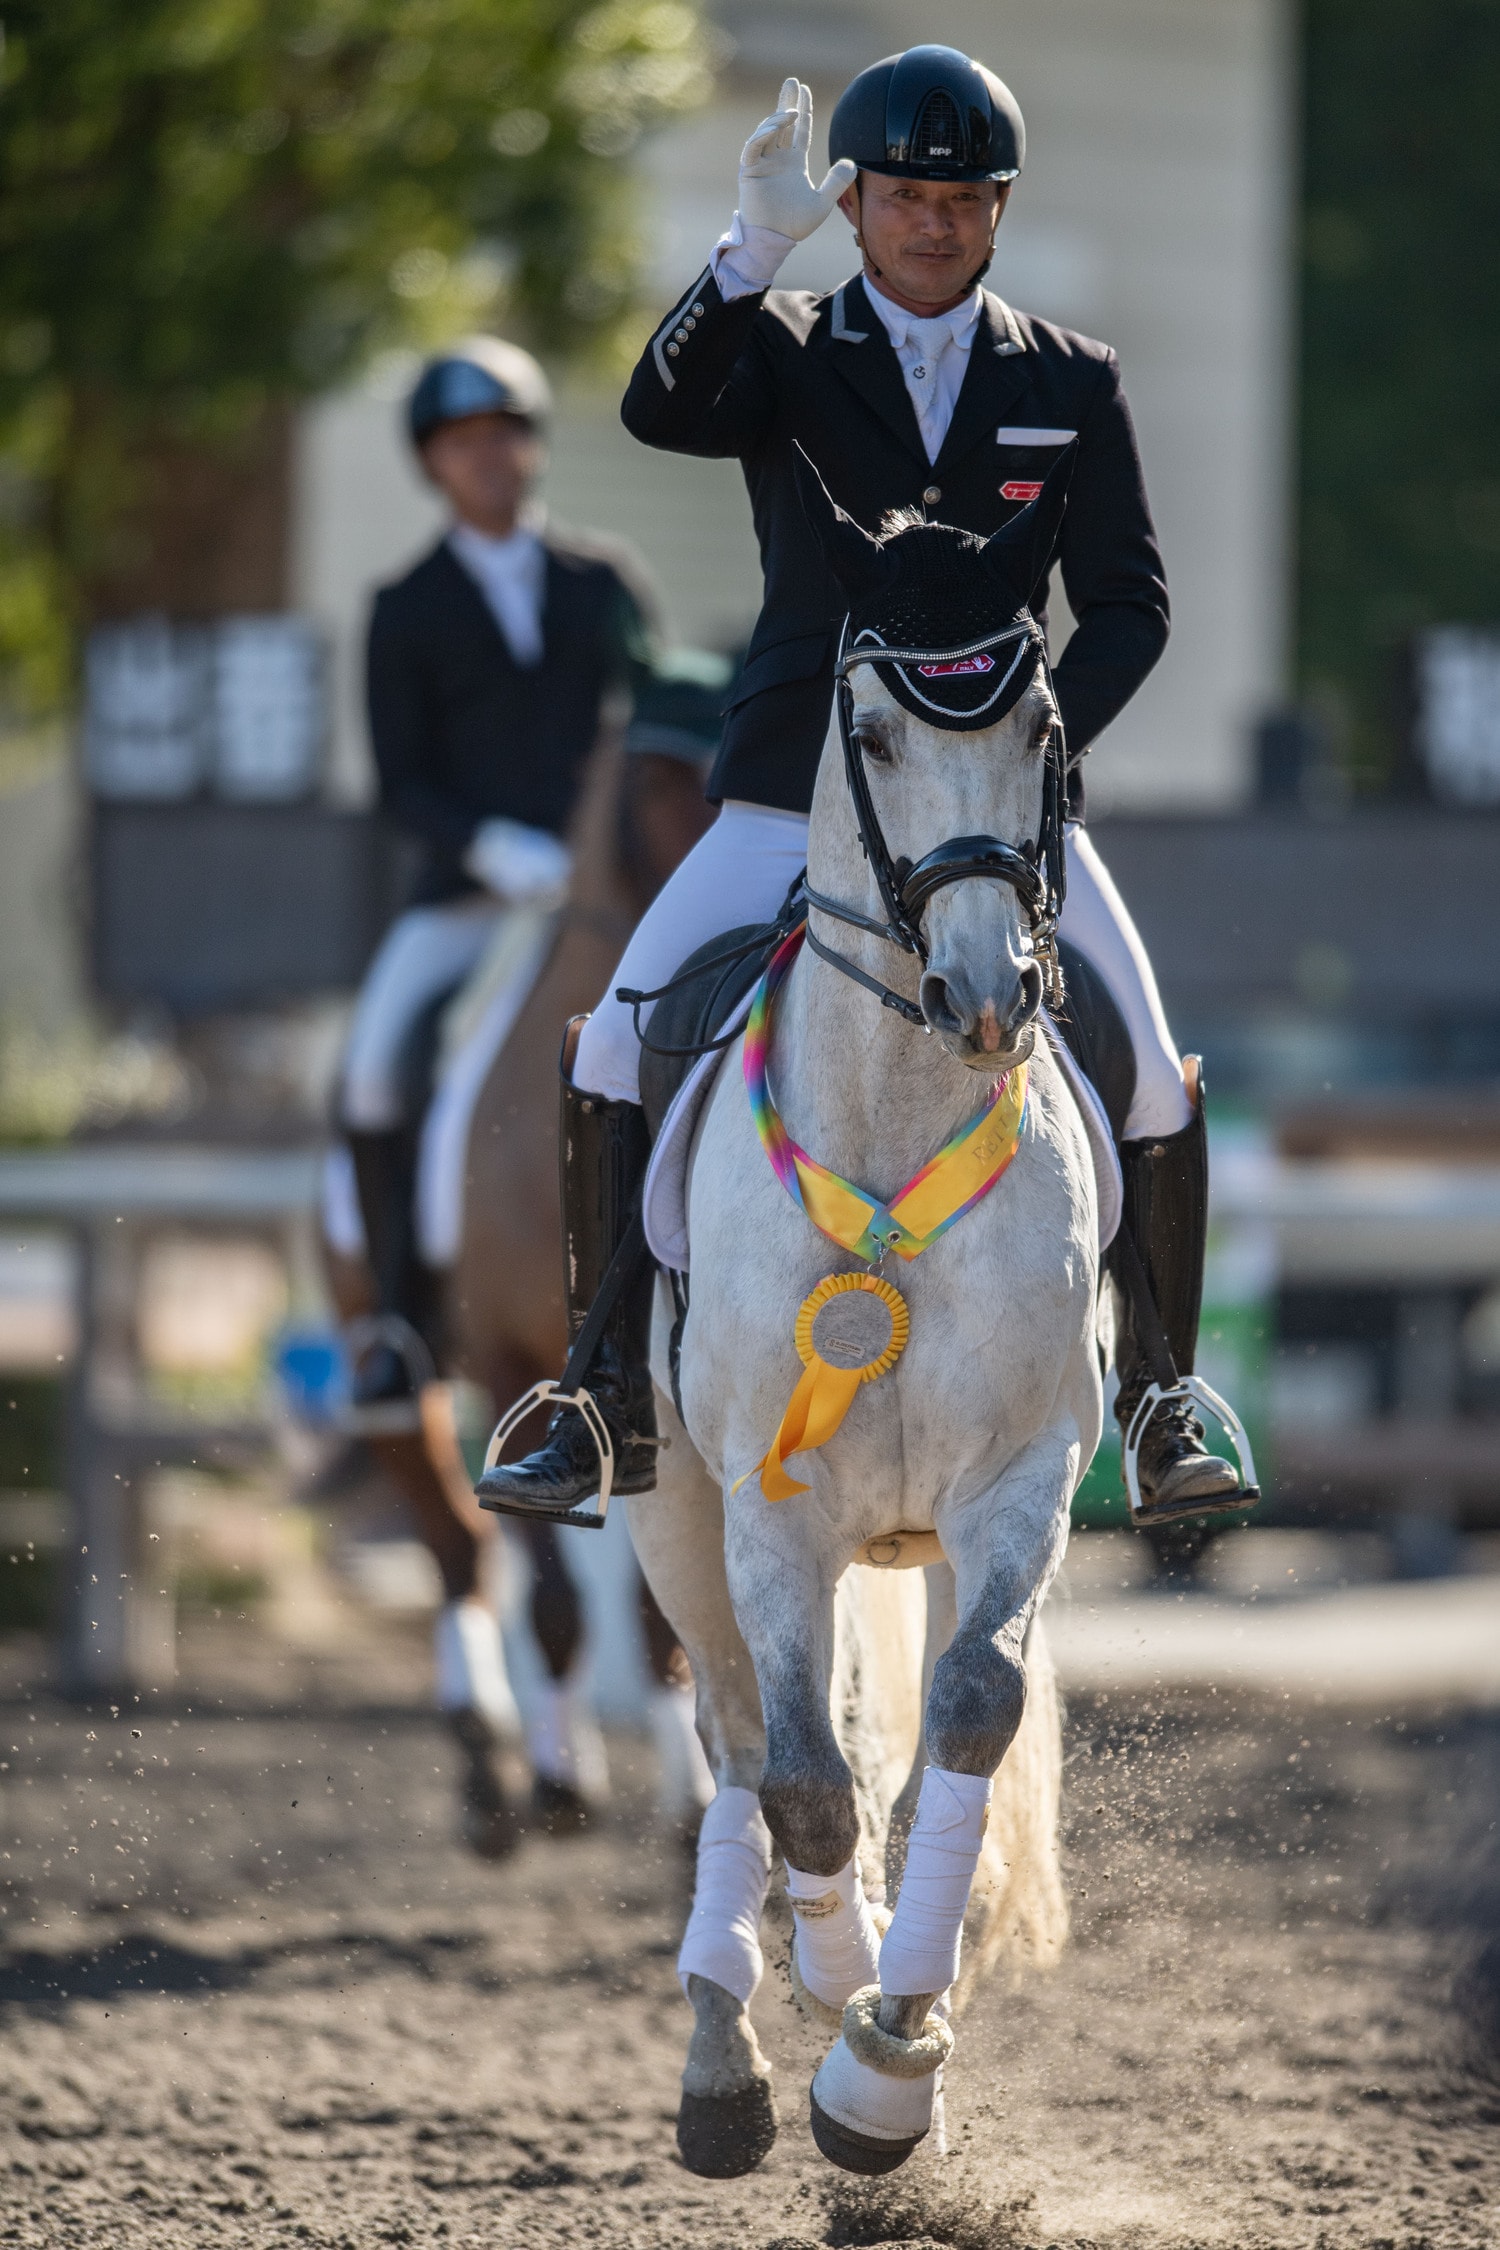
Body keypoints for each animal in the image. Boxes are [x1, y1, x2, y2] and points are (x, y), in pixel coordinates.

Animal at [326, 723, 714, 1851]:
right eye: (671, 779)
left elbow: (653, 1610)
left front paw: (691, 1810)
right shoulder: (514, 1365)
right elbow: (550, 1596)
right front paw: (561, 1788)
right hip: (394, 1372)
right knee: (459, 1552)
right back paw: (494, 1766)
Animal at [626, 472, 1090, 2175]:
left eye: (1040, 720)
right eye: (875, 735)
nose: (986, 995)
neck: (894, 1118)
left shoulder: (1021, 1479)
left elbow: (965, 1714)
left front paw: (893, 2056)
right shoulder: (774, 1508)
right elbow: (803, 1785)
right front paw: (838, 1995)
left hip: (929, 1534)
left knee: (888, 1738)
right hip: (676, 1513)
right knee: (741, 1740)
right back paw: (729, 2047)